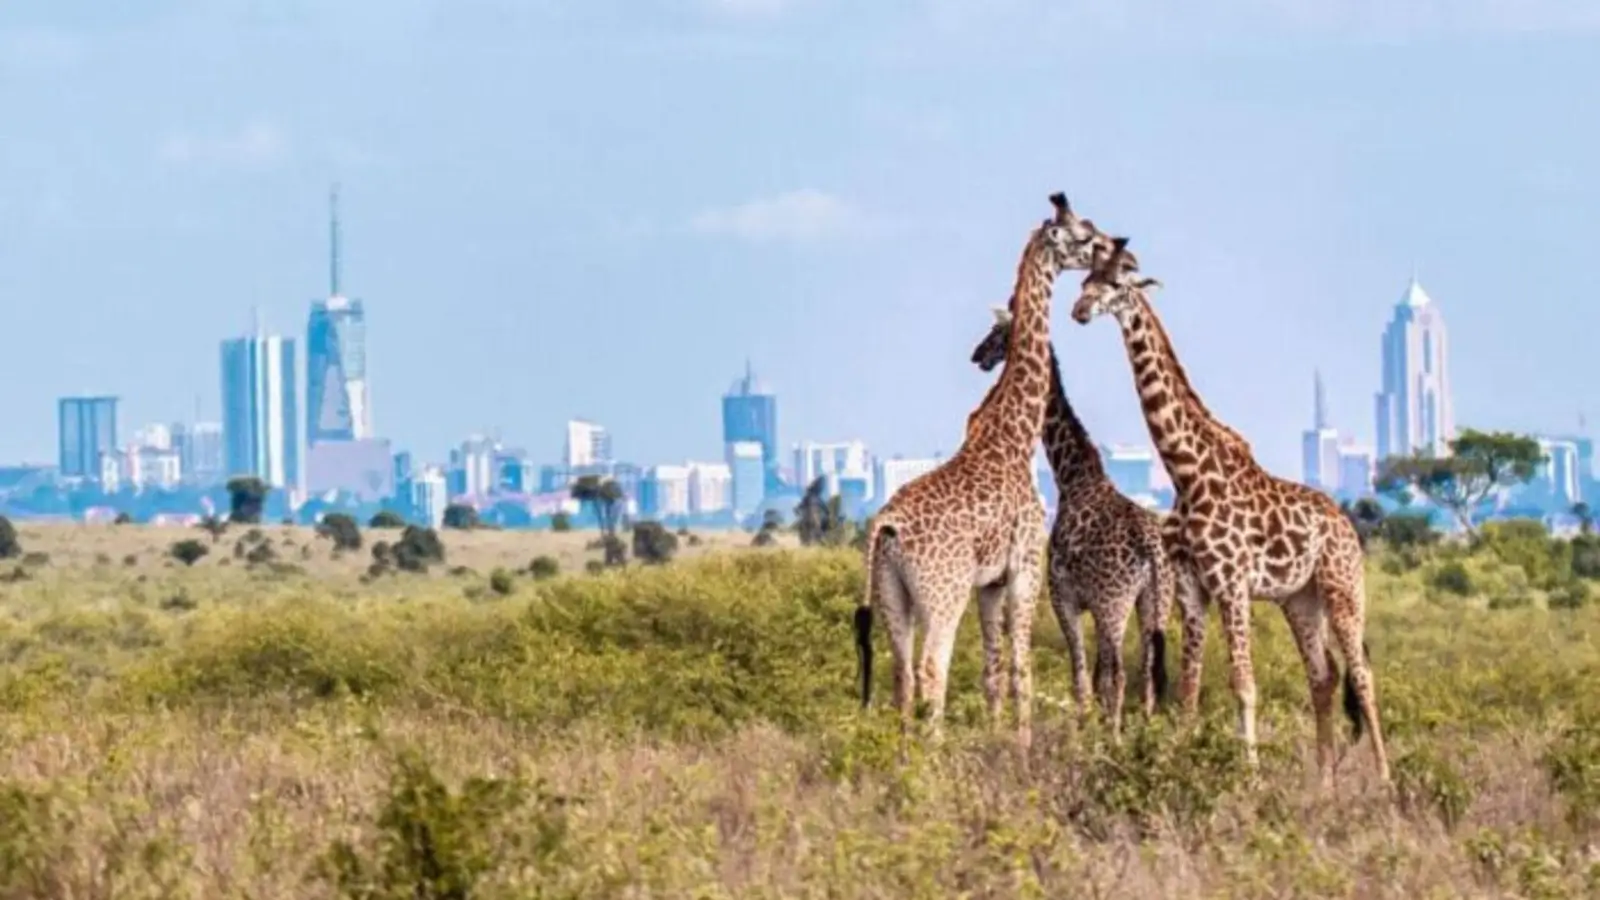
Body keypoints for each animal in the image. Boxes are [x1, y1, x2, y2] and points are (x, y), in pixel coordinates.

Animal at [851, 192, 1126, 746]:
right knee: (931, 669)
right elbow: (1022, 668)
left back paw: (905, 758)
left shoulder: (989, 582)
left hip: (894, 594)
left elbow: (992, 669)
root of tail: (885, 528)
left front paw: (997, 739)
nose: (1115, 249)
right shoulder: (1024, 568)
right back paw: (934, 758)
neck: (1013, 437)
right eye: (1085, 236)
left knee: (902, 675)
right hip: (942, 592)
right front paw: (1021, 750)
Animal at [960, 304, 1177, 733]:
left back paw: (1117, 738)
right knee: (1147, 673)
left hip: (1115, 603)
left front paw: (1084, 732)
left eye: (997, 332)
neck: (1072, 477)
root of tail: (1151, 547)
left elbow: (1082, 677)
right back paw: (1143, 732)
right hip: (1155, 602)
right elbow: (1093, 676)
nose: (978, 356)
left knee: (1121, 675)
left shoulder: (1065, 596)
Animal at [1075, 235, 1388, 781]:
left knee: (1363, 676)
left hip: (1343, 587)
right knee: (1323, 675)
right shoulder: (1190, 586)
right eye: (1084, 279)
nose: (1079, 310)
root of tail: (1347, 525)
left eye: (1115, 283)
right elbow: (1190, 687)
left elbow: (1244, 684)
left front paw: (1250, 776)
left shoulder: (1232, 583)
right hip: (1299, 599)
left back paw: (1387, 783)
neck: (1186, 471)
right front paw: (1178, 762)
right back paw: (1324, 784)